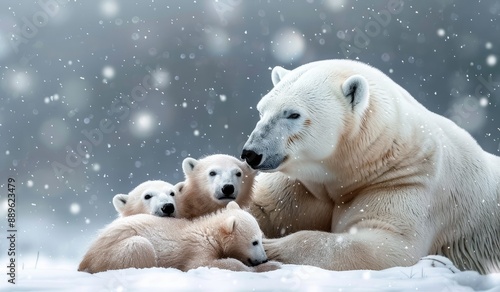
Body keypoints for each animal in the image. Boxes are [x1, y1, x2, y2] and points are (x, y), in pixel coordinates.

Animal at [241, 59, 500, 274]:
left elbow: (387, 244)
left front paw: (269, 246)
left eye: (293, 114)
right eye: (261, 110)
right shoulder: (304, 186)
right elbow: (263, 206)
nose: (251, 153)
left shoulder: (404, 182)